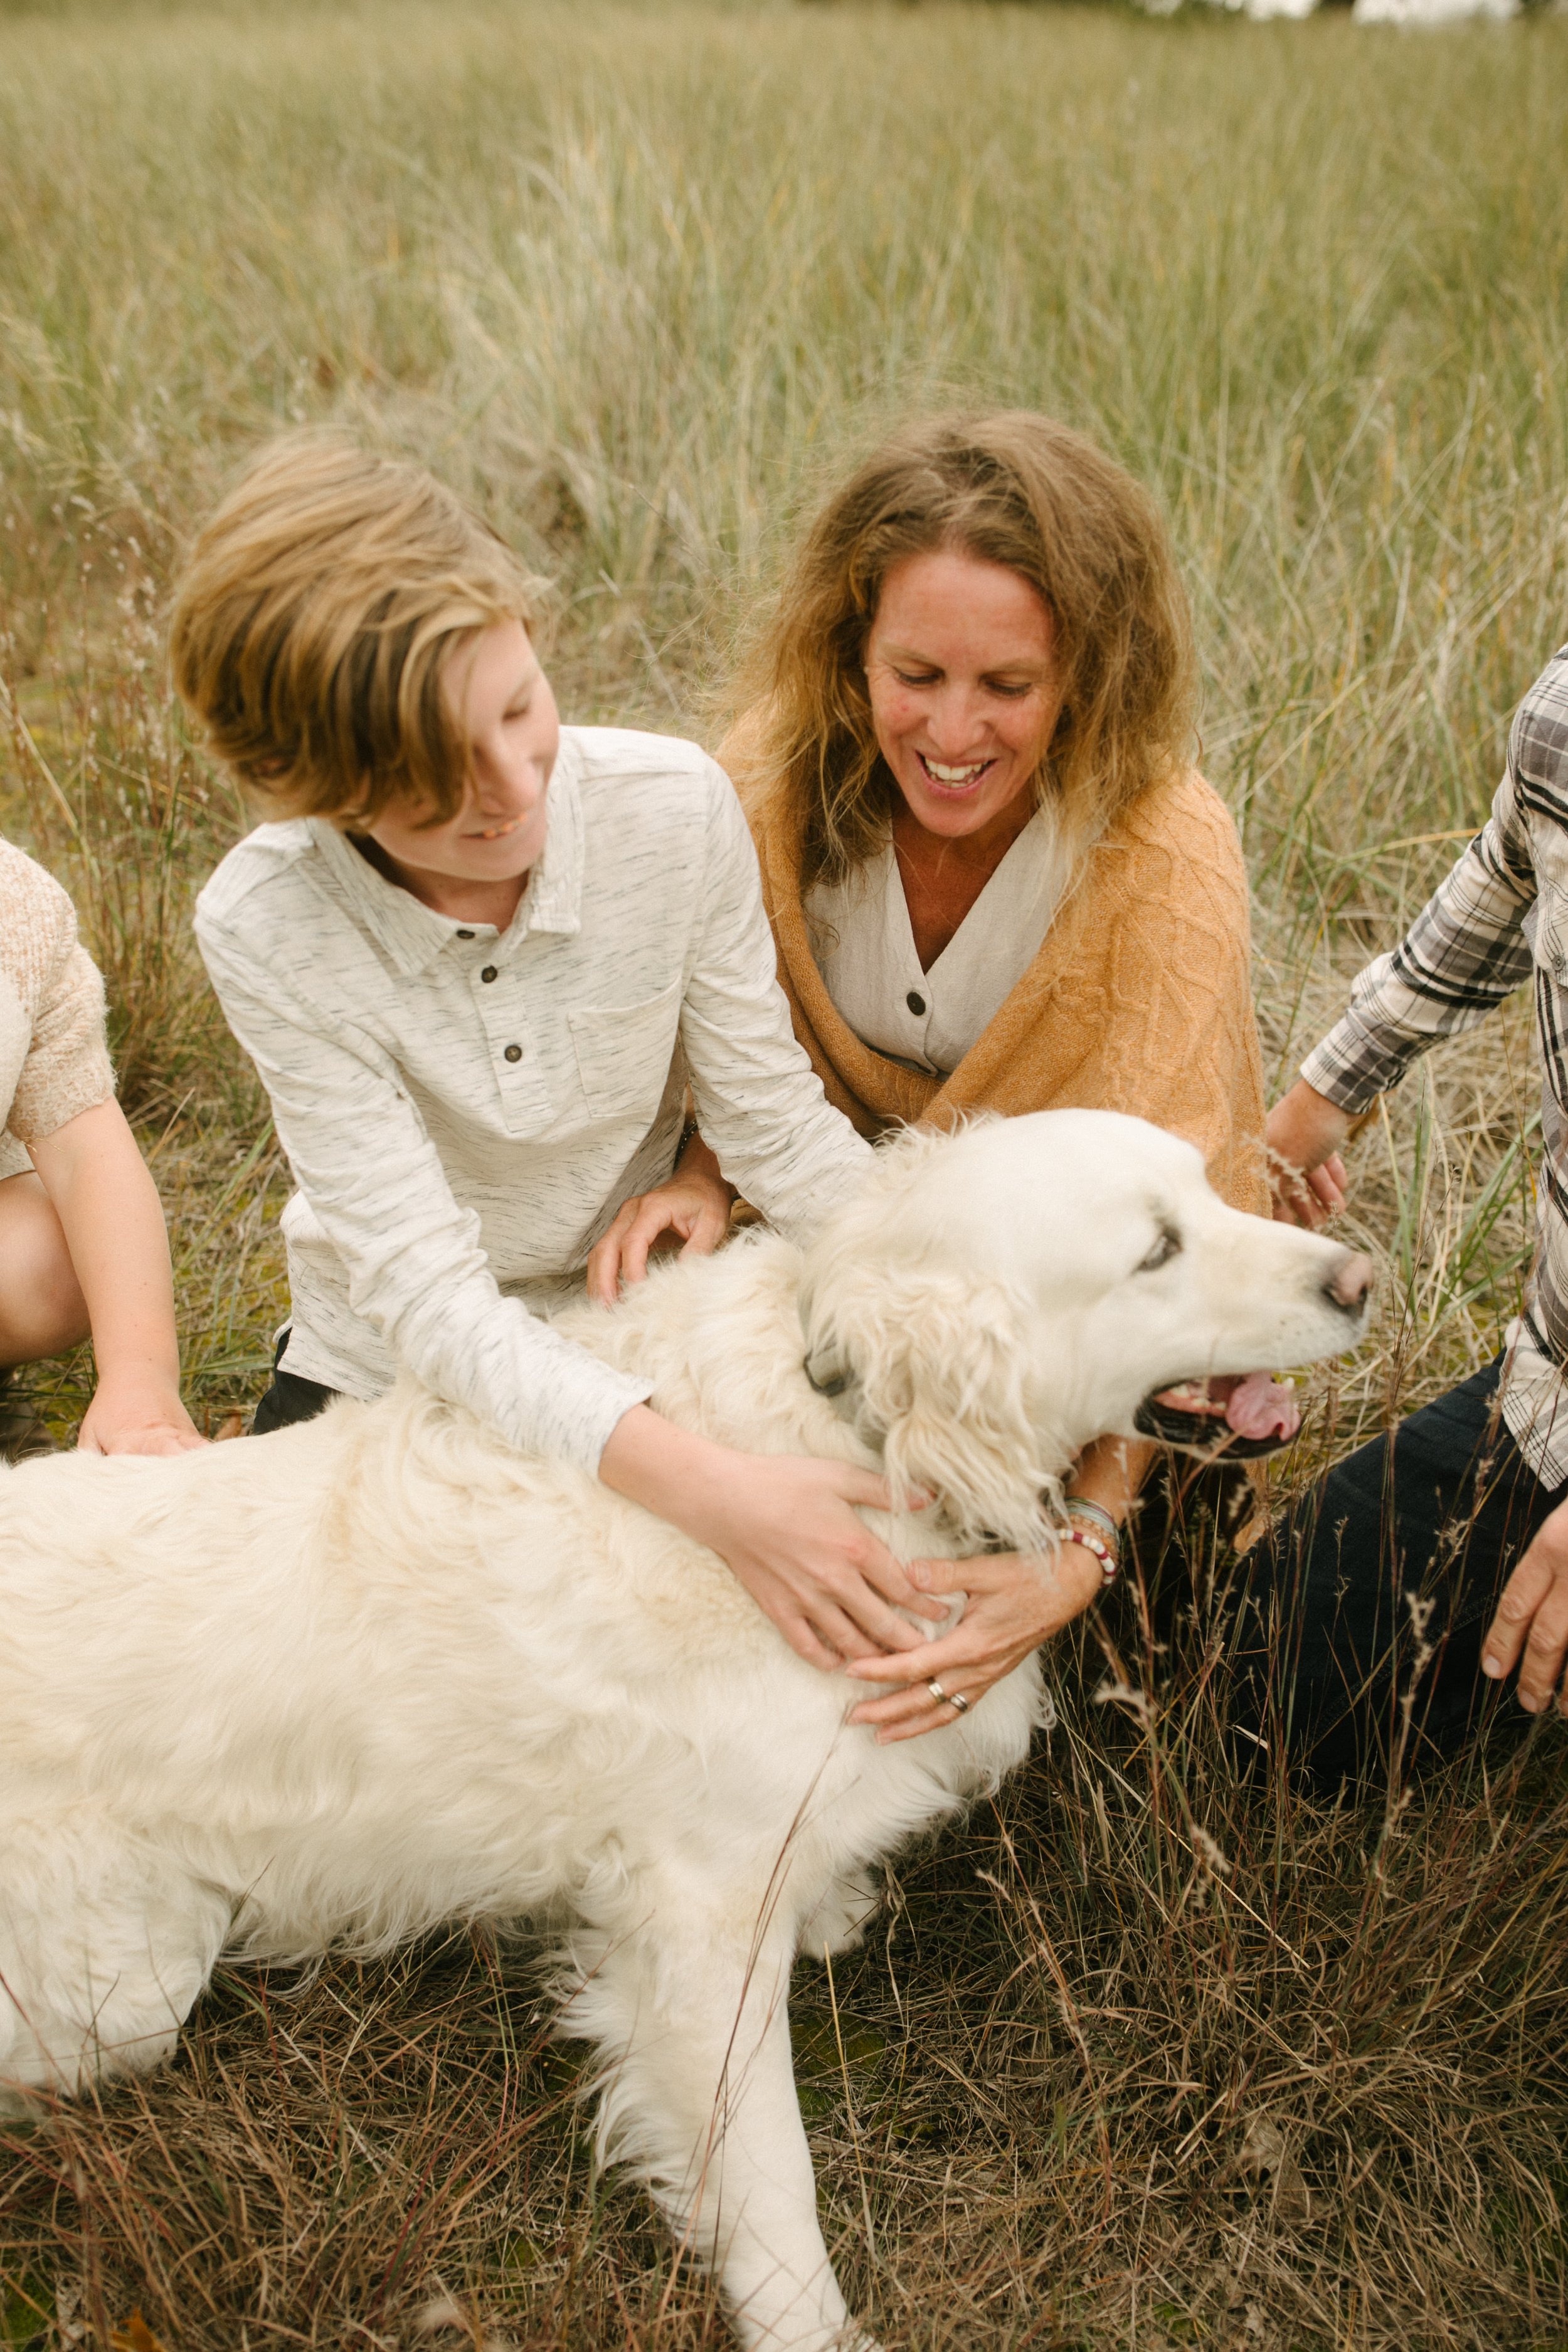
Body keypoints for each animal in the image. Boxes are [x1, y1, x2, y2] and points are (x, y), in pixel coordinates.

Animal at [0, 1115, 1372, 2352]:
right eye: (1154, 1252)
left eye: (1209, 1189)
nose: (1357, 1280)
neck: (859, 1428)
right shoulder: (702, 1932)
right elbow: (769, 2174)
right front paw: (803, 2324)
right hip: (124, 1988)